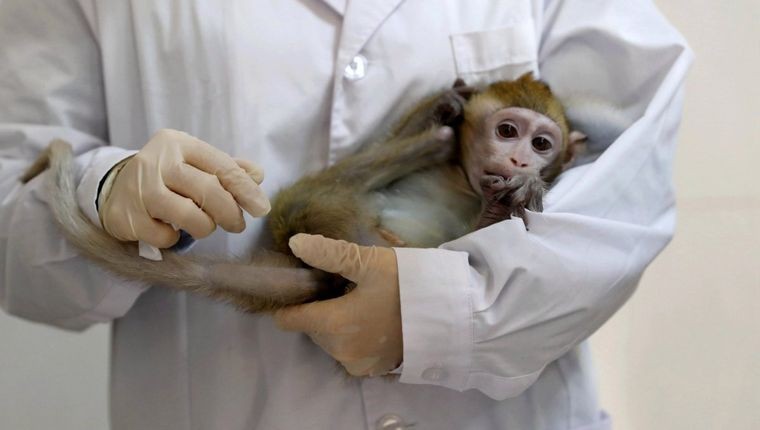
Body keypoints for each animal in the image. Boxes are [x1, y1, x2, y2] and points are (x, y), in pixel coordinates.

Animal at [21, 73, 589, 313]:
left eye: (541, 143)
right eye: (508, 131)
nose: (519, 160)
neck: (461, 178)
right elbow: (431, 130)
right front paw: (445, 104)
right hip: (314, 204)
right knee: (415, 154)